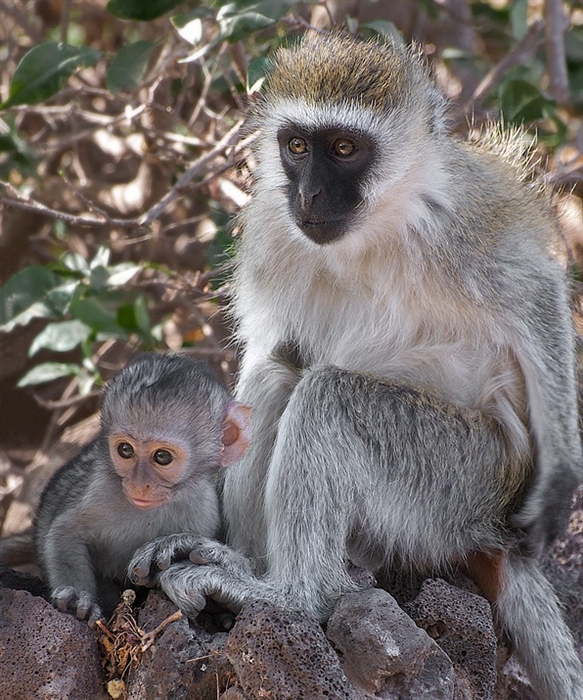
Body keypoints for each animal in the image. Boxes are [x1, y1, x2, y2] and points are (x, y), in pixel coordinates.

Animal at [34, 352, 249, 628]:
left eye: (162, 457)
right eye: (125, 450)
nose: (138, 483)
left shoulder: (202, 510)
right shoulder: (100, 489)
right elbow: (65, 532)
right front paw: (75, 597)